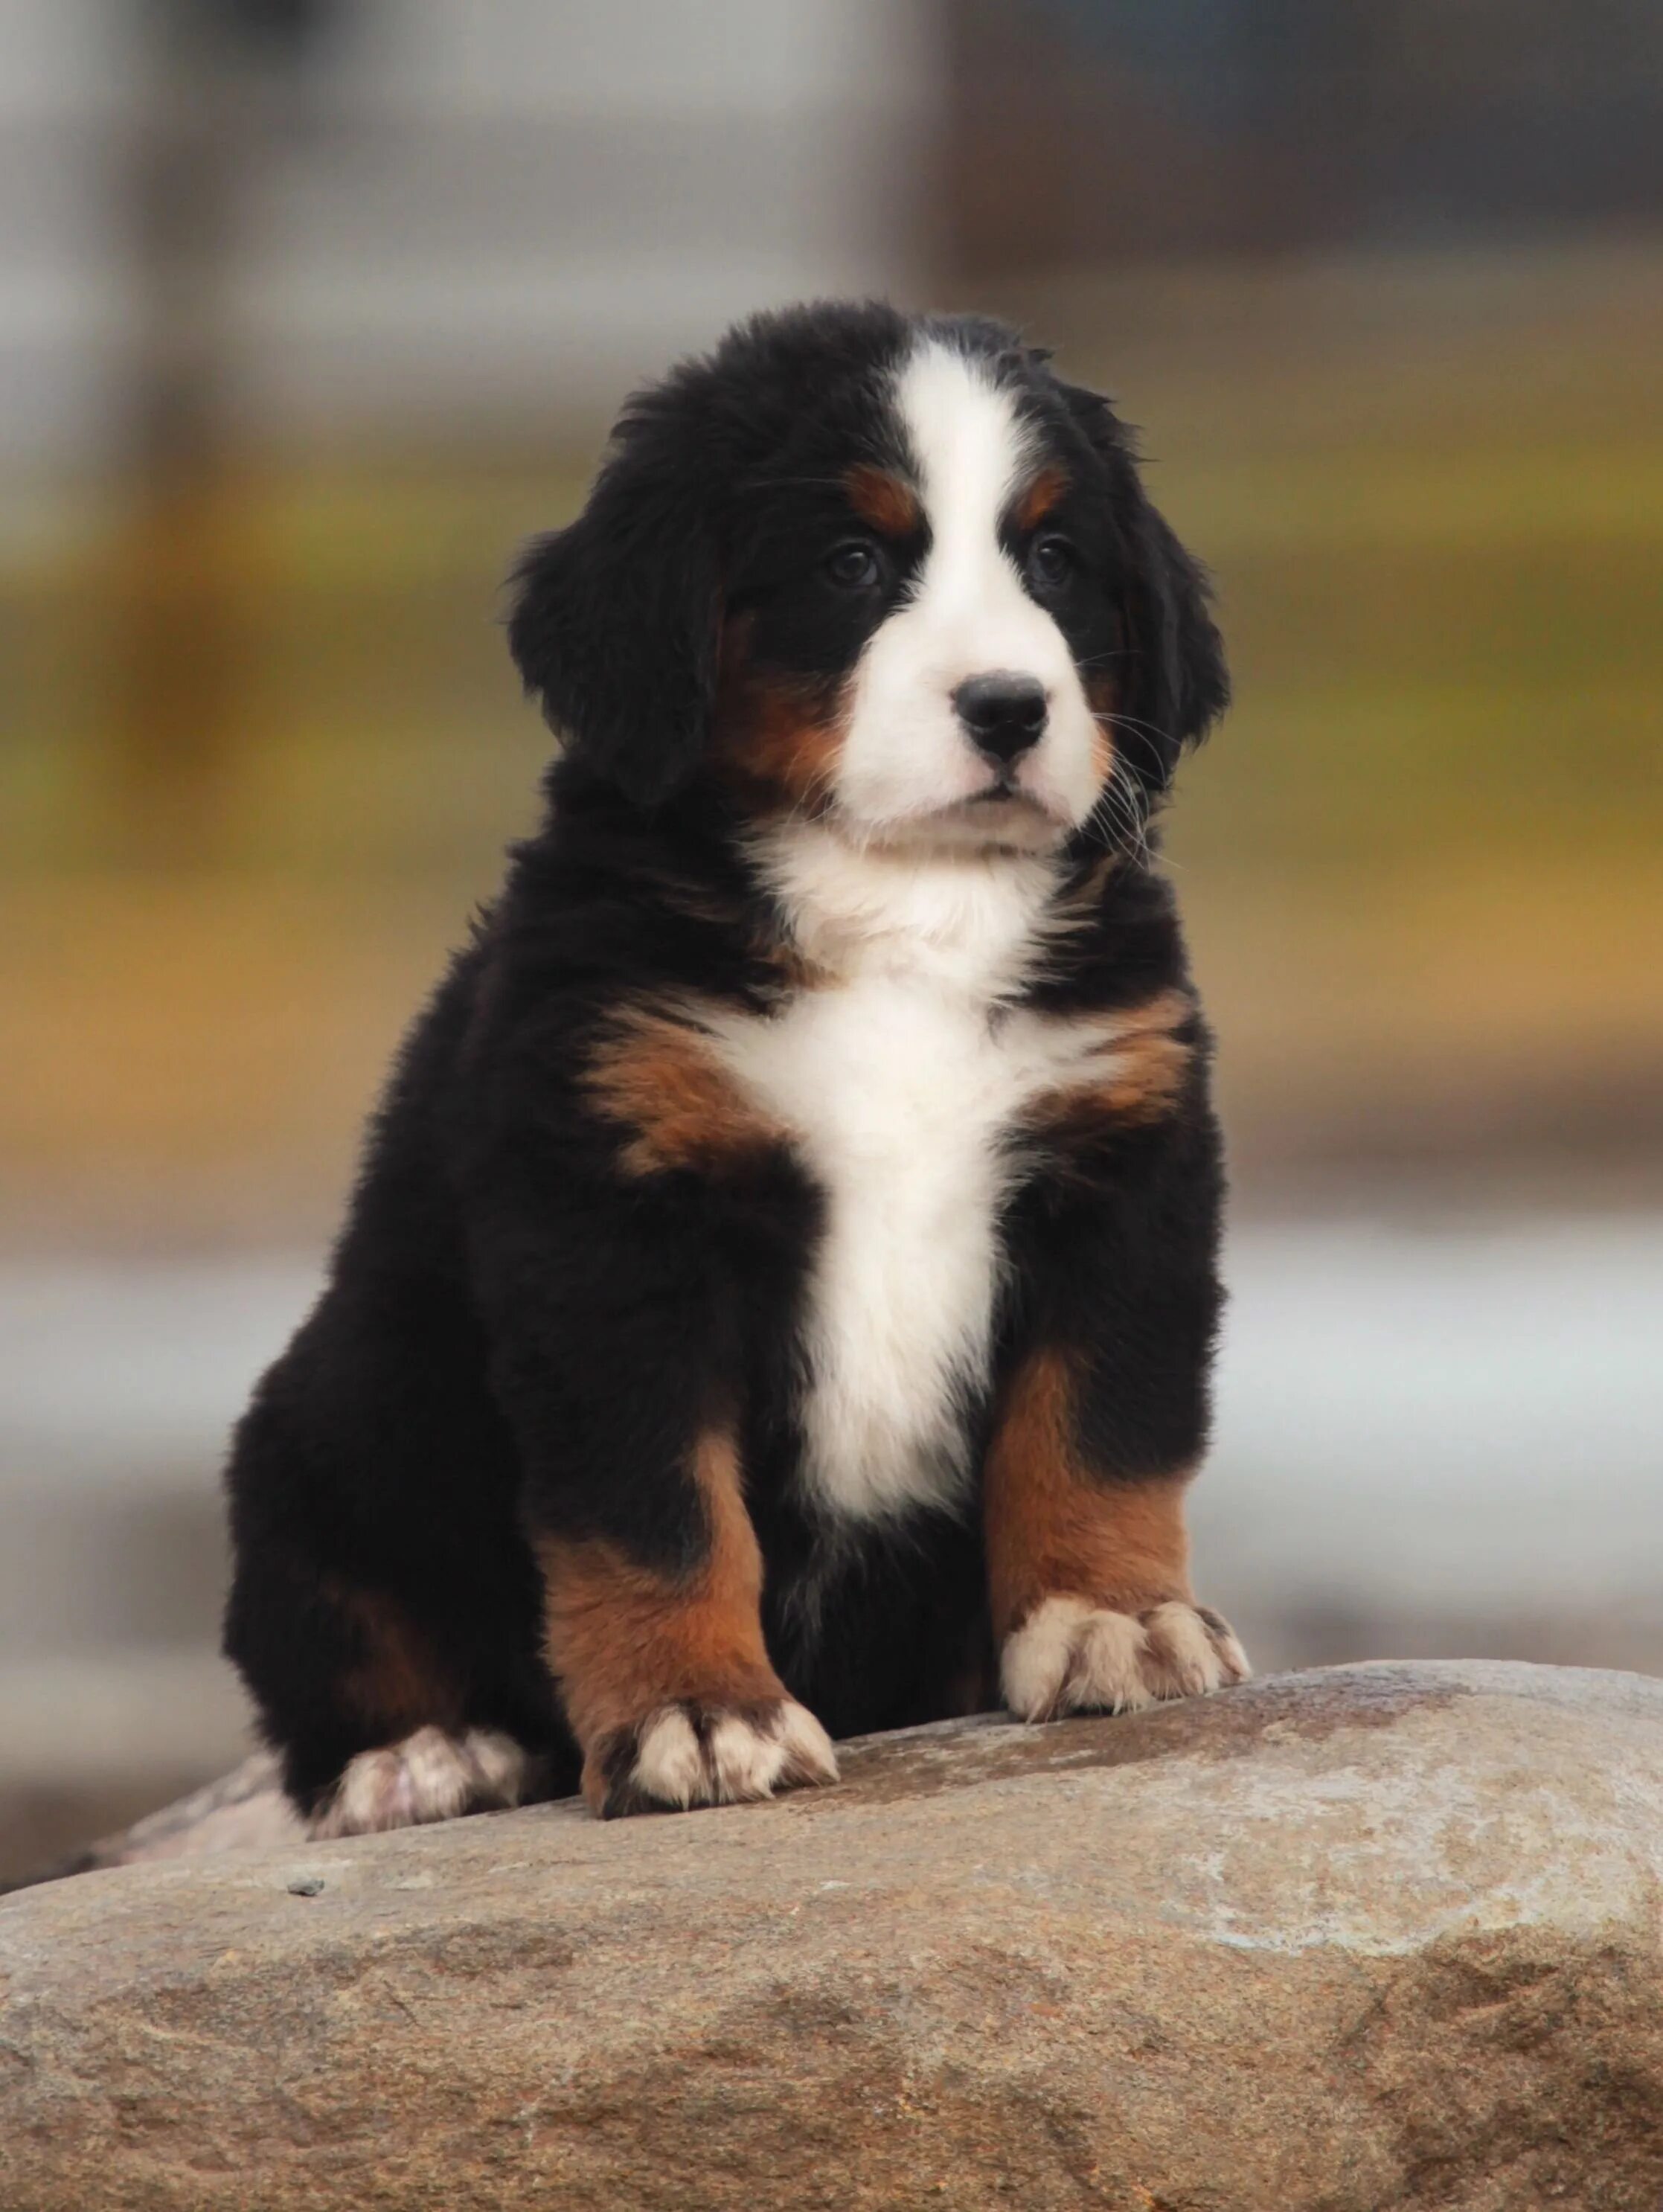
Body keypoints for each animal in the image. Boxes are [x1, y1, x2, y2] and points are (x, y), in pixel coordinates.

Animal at [228, 303, 1256, 1840]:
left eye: (1056, 561)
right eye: (853, 563)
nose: (1011, 707)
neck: (903, 907)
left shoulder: (1119, 1159)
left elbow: (1096, 1426)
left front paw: (1112, 1619)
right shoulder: (612, 1210)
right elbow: (655, 1509)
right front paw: (699, 1711)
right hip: (323, 1434)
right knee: (335, 1651)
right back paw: (427, 1757)